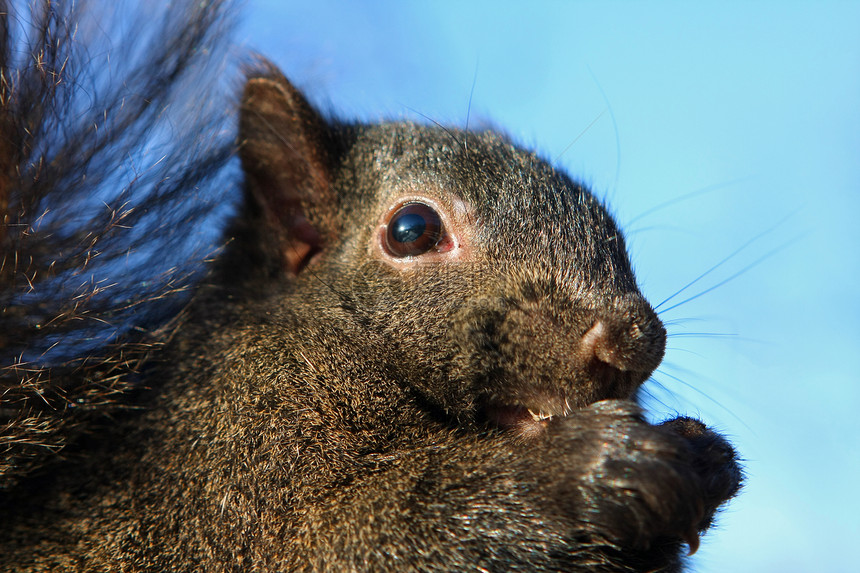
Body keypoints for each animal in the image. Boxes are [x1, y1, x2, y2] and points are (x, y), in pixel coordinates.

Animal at [0, 2, 740, 568]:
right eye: (412, 229)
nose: (633, 344)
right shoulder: (226, 481)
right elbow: (366, 533)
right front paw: (591, 464)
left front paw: (705, 455)